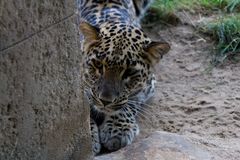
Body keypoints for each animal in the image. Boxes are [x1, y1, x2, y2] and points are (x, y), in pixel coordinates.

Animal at [78, 0, 170, 155]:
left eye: (129, 73)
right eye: (98, 65)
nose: (105, 101)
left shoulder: (148, 85)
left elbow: (129, 104)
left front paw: (118, 130)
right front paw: (89, 137)